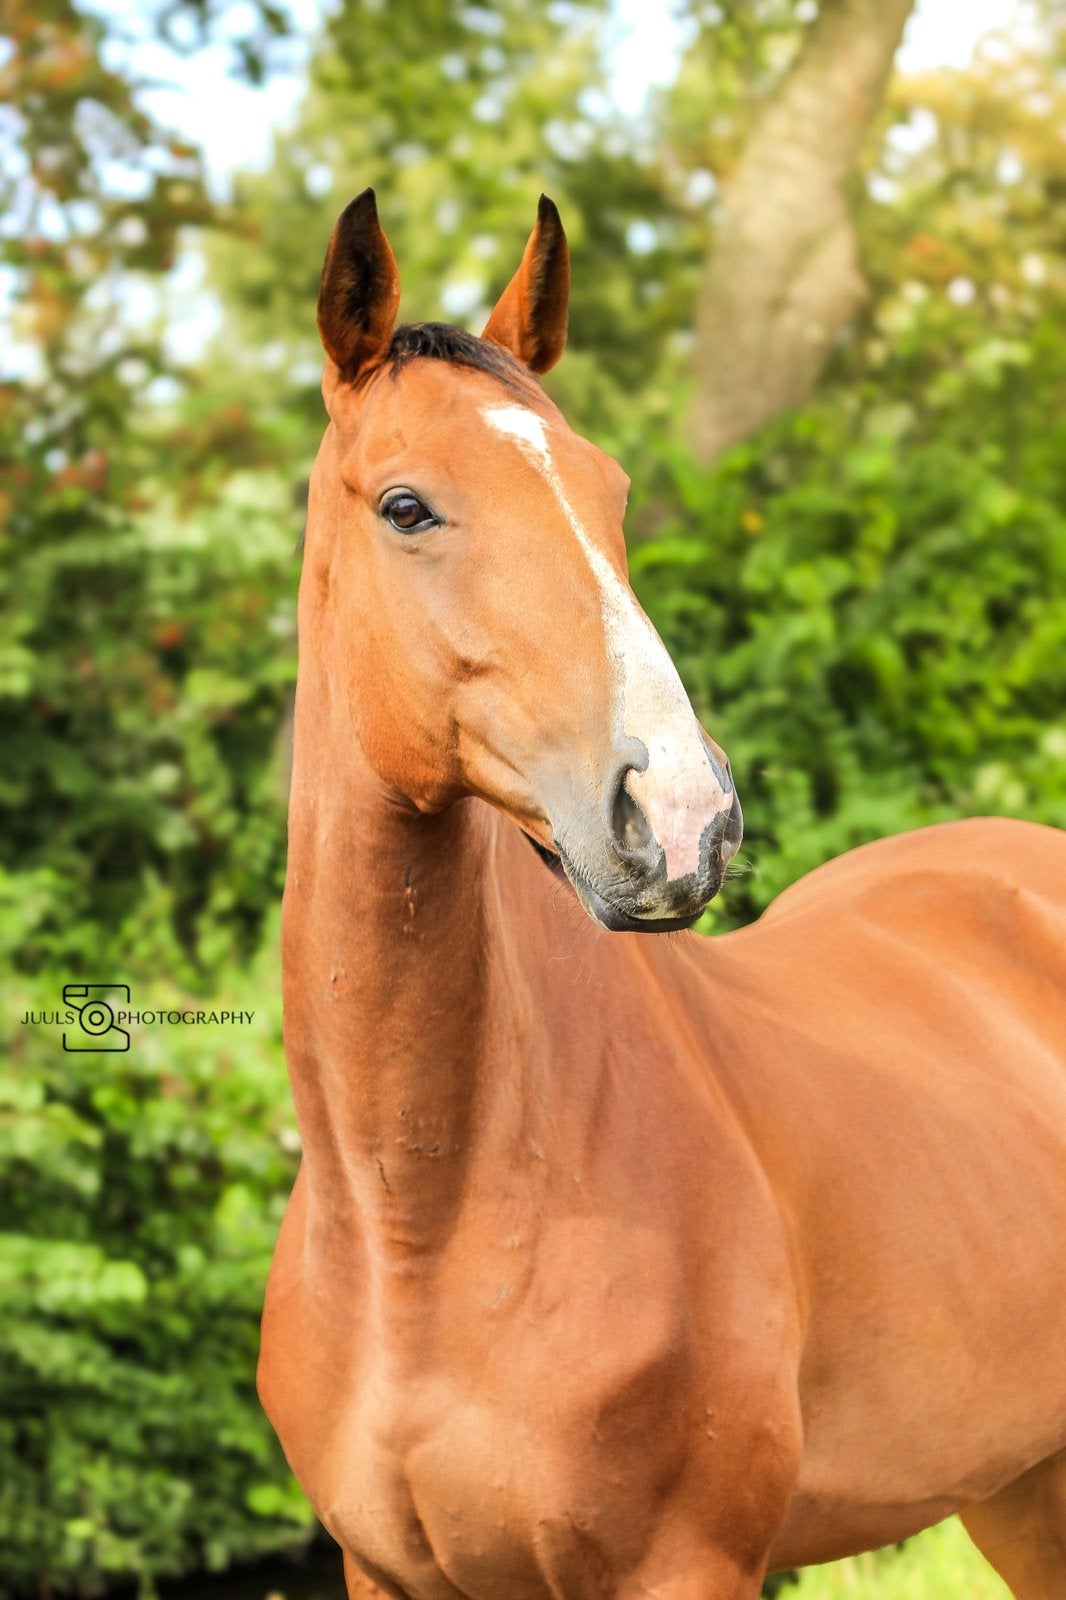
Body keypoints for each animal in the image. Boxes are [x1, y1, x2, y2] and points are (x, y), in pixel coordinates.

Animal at [258, 189, 1066, 1600]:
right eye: (407, 505)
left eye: (611, 491)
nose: (684, 818)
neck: (418, 1226)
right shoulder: (385, 1574)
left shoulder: (684, 1563)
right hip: (1025, 1491)